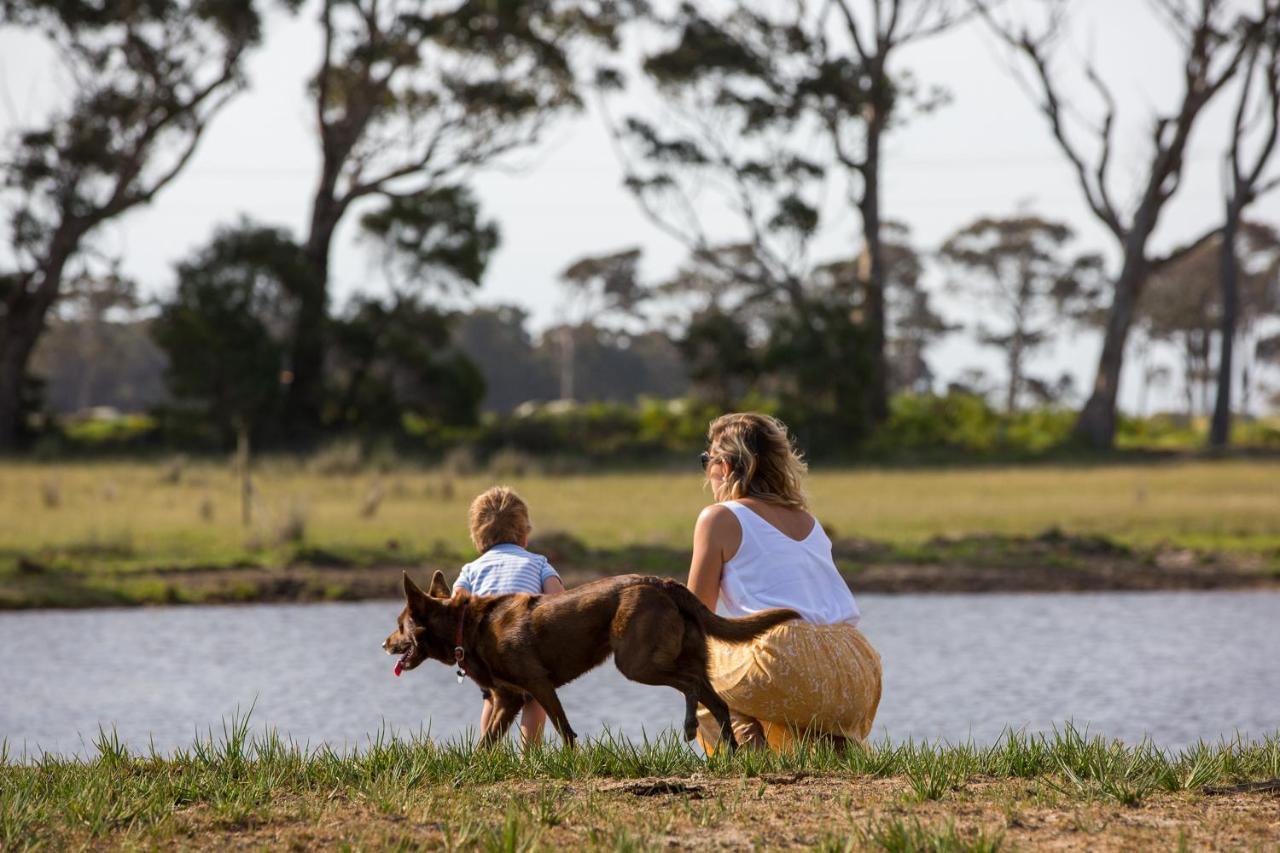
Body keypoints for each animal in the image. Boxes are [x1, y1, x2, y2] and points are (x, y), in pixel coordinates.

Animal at [384, 571, 793, 742]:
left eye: (400, 625)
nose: (384, 644)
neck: (466, 625)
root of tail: (662, 583)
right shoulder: (509, 699)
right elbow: (485, 743)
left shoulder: (538, 685)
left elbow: (565, 730)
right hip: (681, 659)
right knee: (717, 703)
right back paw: (731, 753)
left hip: (636, 663)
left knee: (690, 686)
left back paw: (692, 727)